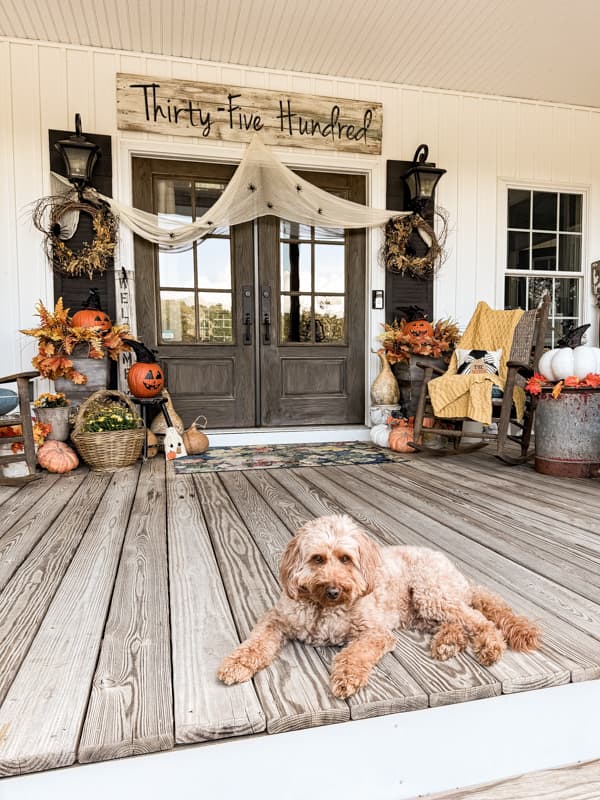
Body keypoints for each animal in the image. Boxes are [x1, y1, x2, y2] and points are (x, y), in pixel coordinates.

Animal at [218, 516, 540, 696]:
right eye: (317, 559)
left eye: (346, 559)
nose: (334, 590)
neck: (324, 608)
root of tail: (461, 576)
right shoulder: (277, 620)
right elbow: (256, 643)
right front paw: (236, 664)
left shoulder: (375, 632)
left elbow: (355, 654)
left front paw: (346, 678)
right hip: (422, 611)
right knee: (457, 622)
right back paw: (448, 643)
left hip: (430, 592)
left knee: (478, 618)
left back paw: (490, 646)